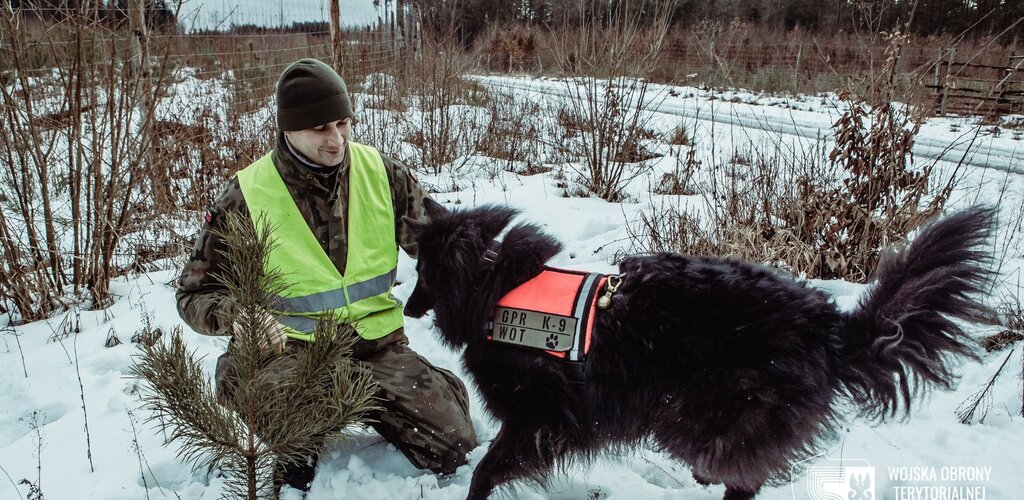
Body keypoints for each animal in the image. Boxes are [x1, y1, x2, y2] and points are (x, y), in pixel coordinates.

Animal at [403, 199, 995, 500]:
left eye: (422, 271)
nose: (405, 309)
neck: (489, 283)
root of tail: (830, 326)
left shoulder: (540, 418)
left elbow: (487, 470)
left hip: (698, 415)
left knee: (742, 475)